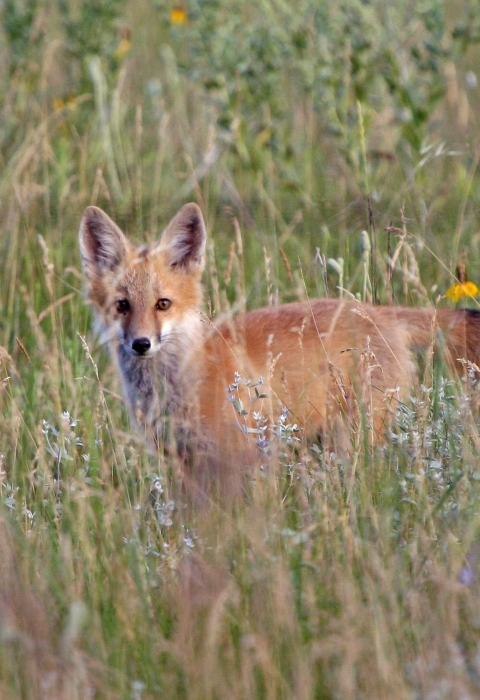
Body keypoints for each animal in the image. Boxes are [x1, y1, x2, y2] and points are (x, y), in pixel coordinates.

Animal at [79, 202, 480, 493]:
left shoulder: (239, 458)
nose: (141, 344)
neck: (174, 387)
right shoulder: (182, 461)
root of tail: (379, 311)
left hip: (357, 438)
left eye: (163, 304)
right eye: (122, 306)